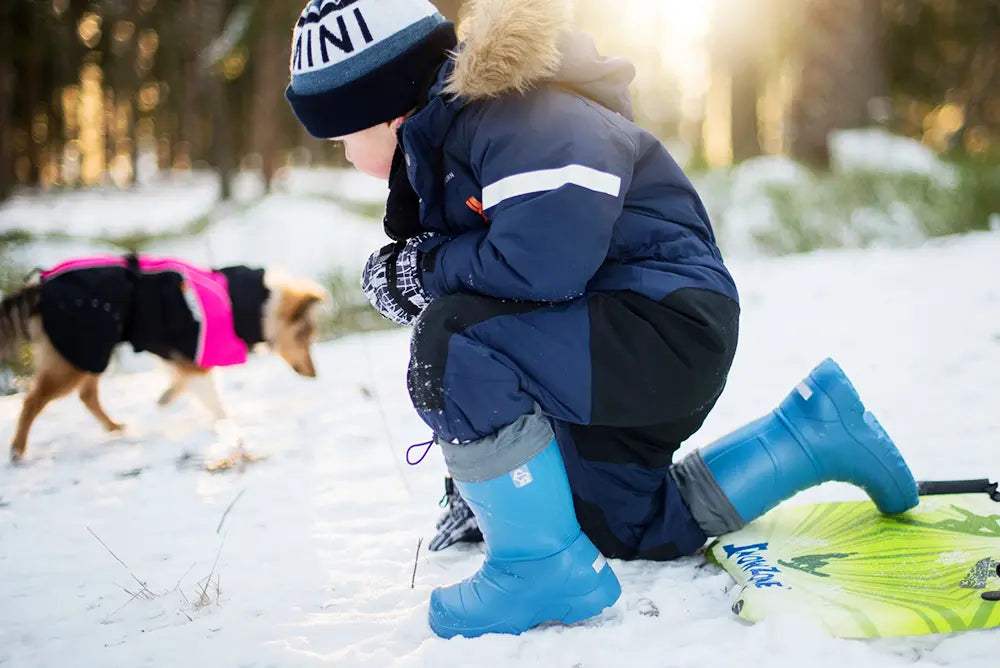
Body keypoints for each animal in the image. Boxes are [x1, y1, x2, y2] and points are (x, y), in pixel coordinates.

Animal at [0, 253, 328, 462]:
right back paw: (17, 450)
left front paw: (166, 398)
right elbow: (213, 400)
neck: (254, 304)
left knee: (87, 395)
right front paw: (227, 427)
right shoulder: (193, 355)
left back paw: (116, 428)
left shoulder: (180, 354)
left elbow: (182, 382)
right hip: (75, 357)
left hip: (90, 352)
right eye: (306, 337)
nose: (314, 374)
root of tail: (39, 286)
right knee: (33, 402)